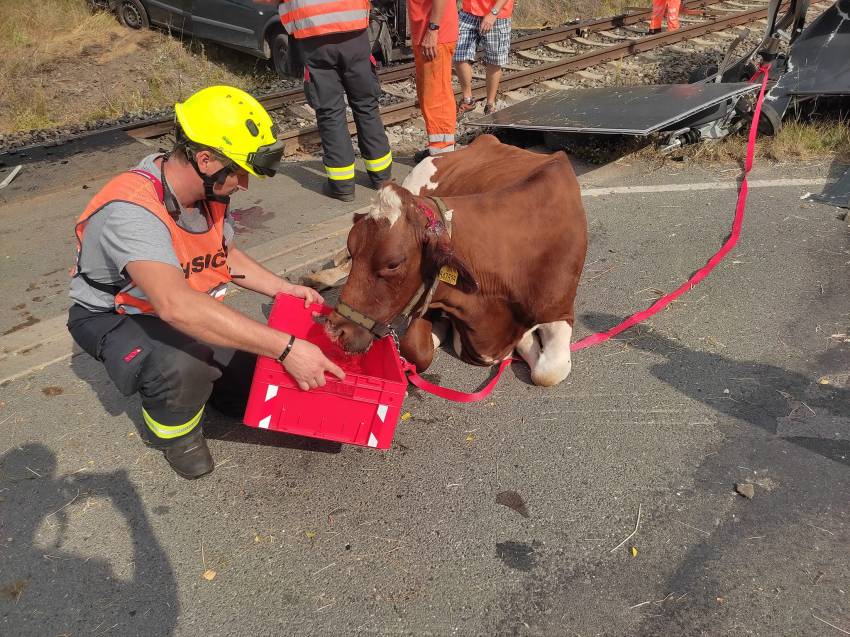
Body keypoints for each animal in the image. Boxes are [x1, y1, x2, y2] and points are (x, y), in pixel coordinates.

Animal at [322, 133, 588, 388]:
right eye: (354, 248)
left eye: (393, 264)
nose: (334, 331)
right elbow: (415, 348)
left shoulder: (560, 310)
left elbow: (549, 371)